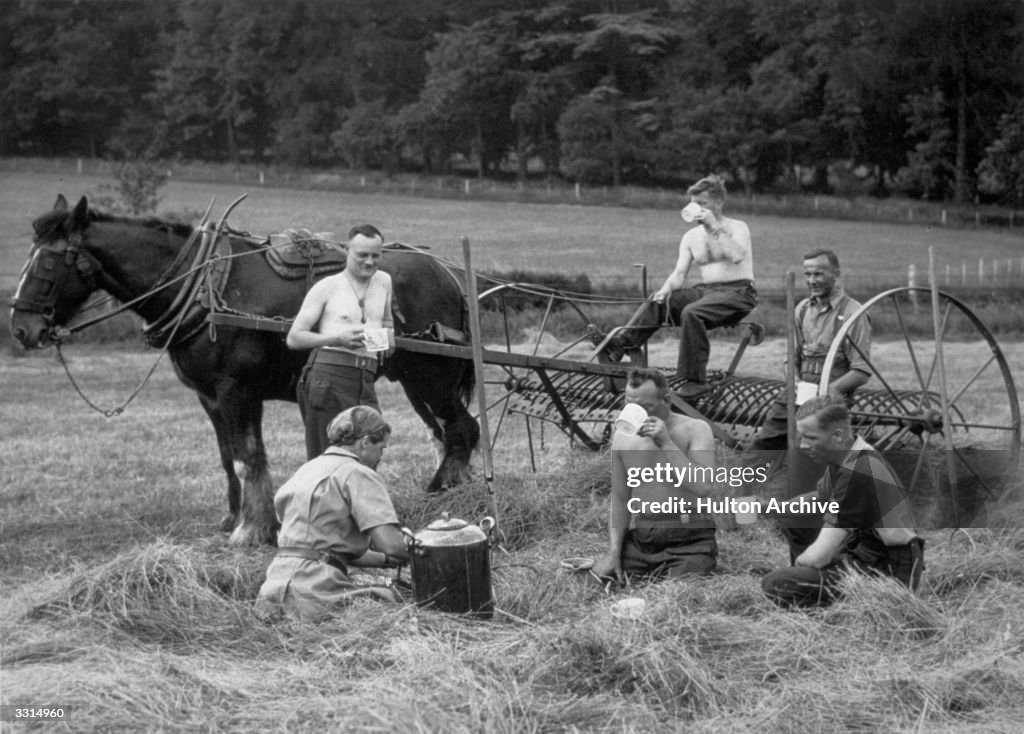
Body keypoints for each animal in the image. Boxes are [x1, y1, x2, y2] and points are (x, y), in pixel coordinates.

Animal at [9, 194, 479, 544]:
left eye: (47, 263)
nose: (20, 328)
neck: (197, 287)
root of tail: (450, 274)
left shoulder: (237, 391)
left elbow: (247, 457)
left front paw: (253, 529)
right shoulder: (209, 397)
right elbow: (226, 457)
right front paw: (233, 519)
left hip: (432, 377)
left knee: (461, 429)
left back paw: (443, 497)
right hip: (416, 381)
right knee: (447, 433)